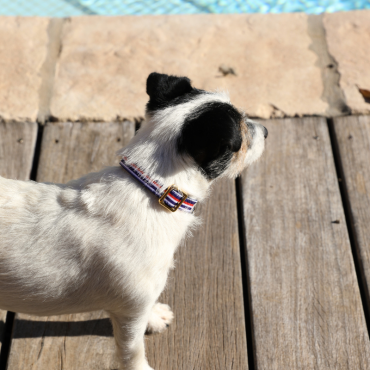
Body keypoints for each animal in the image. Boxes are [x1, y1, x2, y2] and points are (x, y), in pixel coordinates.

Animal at [0, 73, 266, 370]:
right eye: (243, 133)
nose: (266, 131)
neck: (153, 189)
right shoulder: (130, 310)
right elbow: (132, 352)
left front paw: (156, 316)